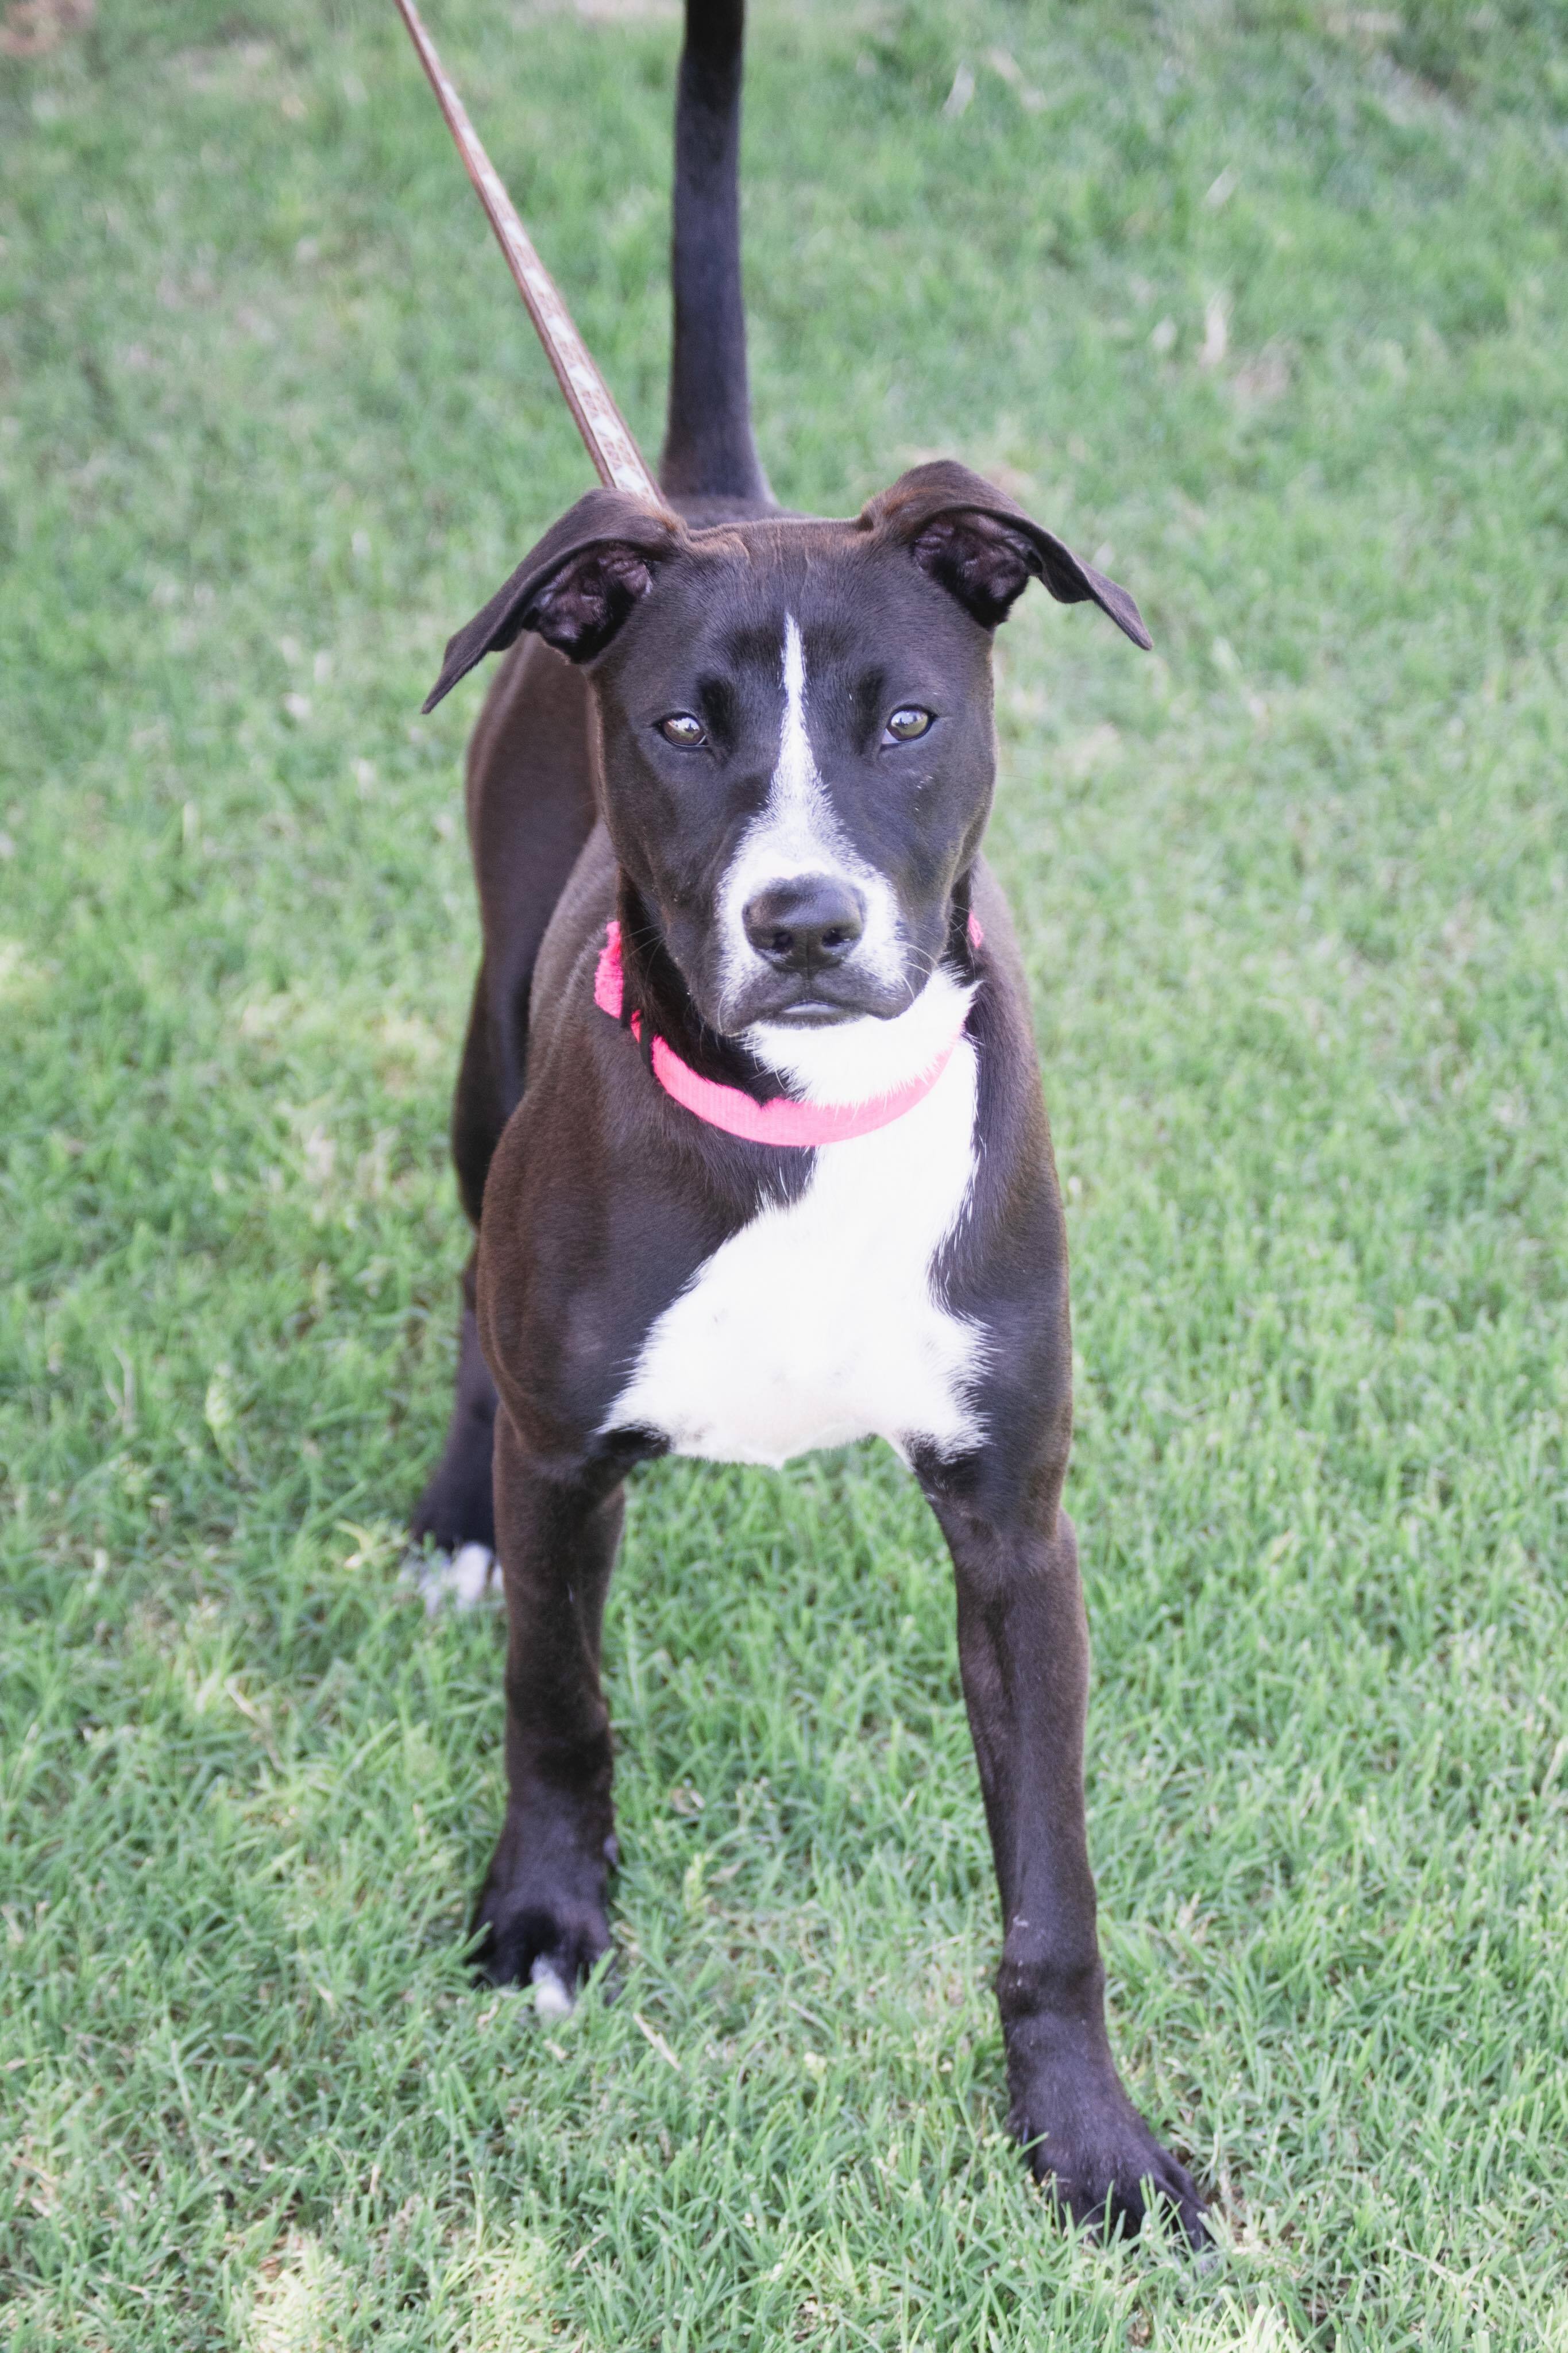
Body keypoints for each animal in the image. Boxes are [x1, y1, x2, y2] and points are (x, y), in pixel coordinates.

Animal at [411, 0, 1212, 2240]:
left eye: (909, 719)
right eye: (688, 724)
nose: (804, 922)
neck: (804, 1131)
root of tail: (691, 493)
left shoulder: (1017, 1518)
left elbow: (1051, 1883)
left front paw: (1087, 2136)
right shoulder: (574, 1457)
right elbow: (559, 1705)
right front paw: (545, 1917)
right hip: (484, 1058)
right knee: (469, 1288)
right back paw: (443, 1508)